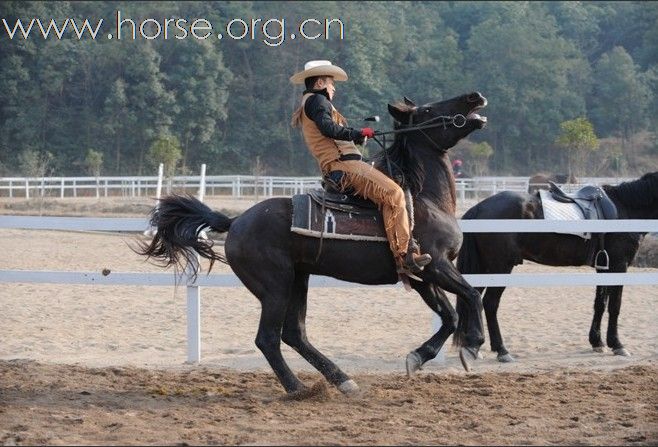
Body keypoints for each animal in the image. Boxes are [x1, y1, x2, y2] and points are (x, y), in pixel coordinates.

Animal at [137, 90, 486, 396]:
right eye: (428, 110)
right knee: (268, 338)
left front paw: (418, 357)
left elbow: (450, 316)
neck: (425, 199)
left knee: (295, 334)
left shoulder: (423, 275)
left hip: (298, 280)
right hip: (275, 286)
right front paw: (471, 347)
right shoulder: (437, 265)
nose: (474, 96)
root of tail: (235, 222)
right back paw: (298, 388)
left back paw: (343, 381)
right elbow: (471, 296)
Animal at [454, 173, 656, 362]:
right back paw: (502, 350)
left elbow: (600, 304)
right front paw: (617, 344)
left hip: (484, 267)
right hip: (500, 267)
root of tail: (479, 208)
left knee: (473, 298)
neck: (626, 209)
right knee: (490, 303)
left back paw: (473, 346)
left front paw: (597, 342)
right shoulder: (619, 265)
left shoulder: (604, 267)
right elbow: (615, 306)